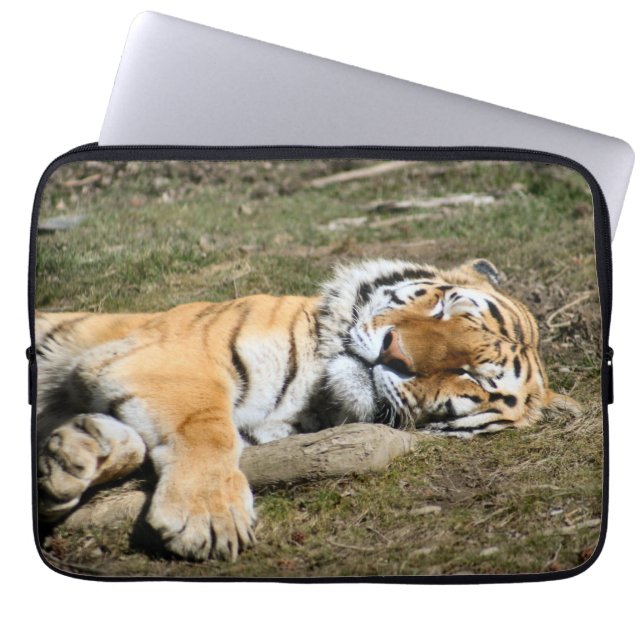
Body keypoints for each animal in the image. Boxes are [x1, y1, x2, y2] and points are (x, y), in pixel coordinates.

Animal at [35, 258, 578, 561]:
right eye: (443, 308)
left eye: (472, 376)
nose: (394, 353)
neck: (315, 400)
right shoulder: (170, 356)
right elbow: (207, 426)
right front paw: (208, 517)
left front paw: (72, 458)